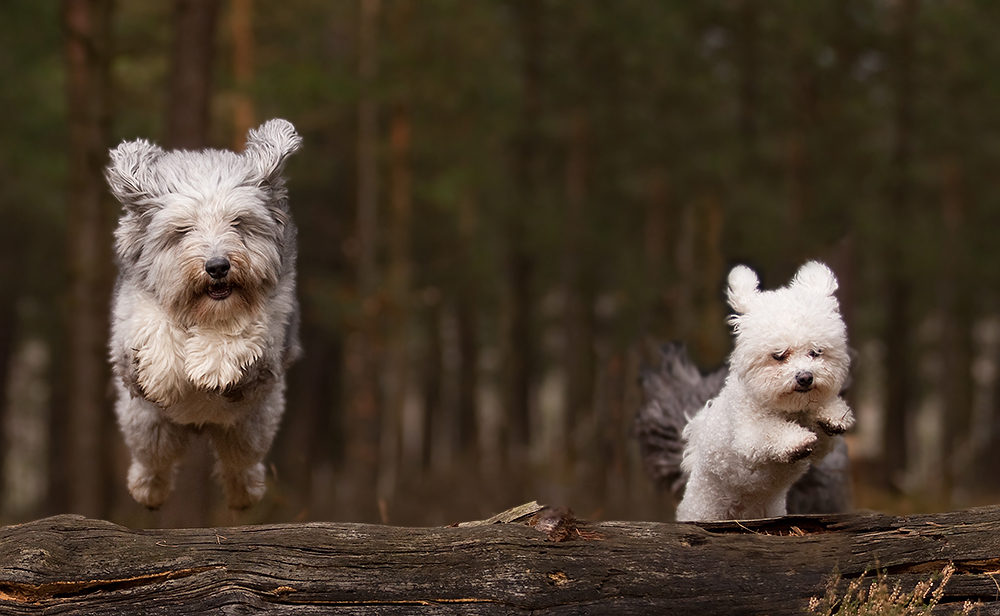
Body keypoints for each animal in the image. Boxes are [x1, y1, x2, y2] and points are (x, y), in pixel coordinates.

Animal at [104, 119, 304, 510]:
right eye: (182, 230)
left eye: (238, 223)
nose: (217, 266)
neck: (205, 310)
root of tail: (199, 426)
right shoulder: (128, 326)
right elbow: (155, 321)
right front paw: (165, 374)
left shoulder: (273, 335)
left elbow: (246, 326)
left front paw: (212, 366)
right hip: (147, 424)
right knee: (154, 460)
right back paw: (148, 490)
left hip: (251, 425)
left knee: (239, 462)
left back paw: (244, 494)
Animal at [672, 262, 852, 524]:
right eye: (779, 355)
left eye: (816, 352)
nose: (805, 377)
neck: (788, 408)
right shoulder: (748, 435)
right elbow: (770, 430)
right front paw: (796, 440)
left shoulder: (820, 448)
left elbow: (823, 431)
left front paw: (833, 415)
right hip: (704, 509)